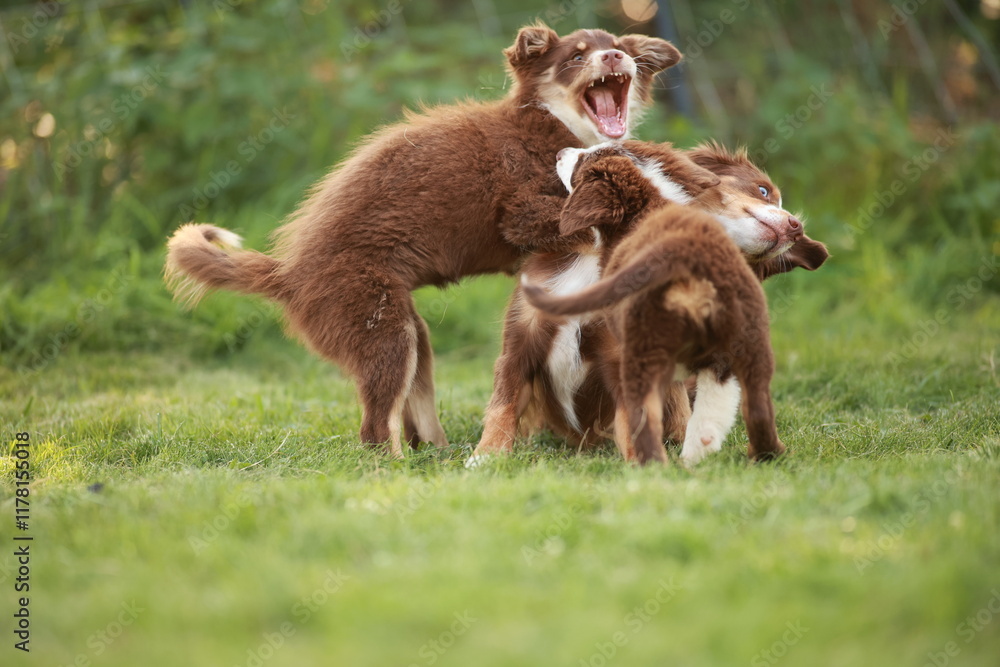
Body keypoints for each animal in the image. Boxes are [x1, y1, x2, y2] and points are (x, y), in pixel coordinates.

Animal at [164, 24, 681, 457]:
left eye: (617, 46)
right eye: (576, 56)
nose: (615, 56)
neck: (547, 122)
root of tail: (288, 274)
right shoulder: (520, 213)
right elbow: (583, 221)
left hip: (412, 337)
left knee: (415, 413)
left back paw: (441, 455)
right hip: (383, 333)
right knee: (375, 432)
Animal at [468, 142, 827, 466]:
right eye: (763, 190)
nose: (795, 227)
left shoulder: (625, 358)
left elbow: (633, 419)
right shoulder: (521, 343)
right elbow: (504, 404)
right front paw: (486, 456)